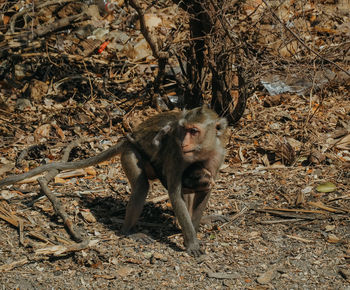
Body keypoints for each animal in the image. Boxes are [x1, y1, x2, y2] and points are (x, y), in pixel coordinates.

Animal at [0, 106, 228, 256]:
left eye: (194, 131)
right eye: (184, 130)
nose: (184, 142)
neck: (202, 150)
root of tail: (127, 138)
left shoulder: (218, 155)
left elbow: (204, 192)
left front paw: (195, 228)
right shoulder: (177, 154)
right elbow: (174, 192)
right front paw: (191, 242)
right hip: (130, 152)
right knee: (142, 184)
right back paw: (128, 232)